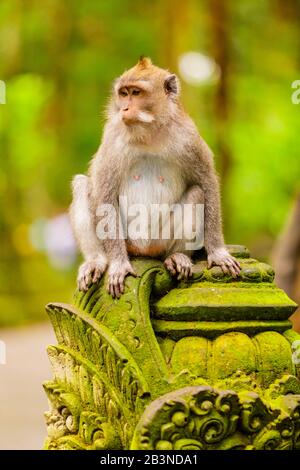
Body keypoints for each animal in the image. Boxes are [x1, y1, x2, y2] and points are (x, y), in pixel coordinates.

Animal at [69, 56, 240, 298]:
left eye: (136, 93)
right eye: (123, 93)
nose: (125, 108)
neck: (148, 133)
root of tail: (144, 250)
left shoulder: (188, 137)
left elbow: (206, 182)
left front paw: (217, 252)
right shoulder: (112, 137)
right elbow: (104, 193)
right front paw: (118, 264)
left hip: (161, 239)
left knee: (197, 194)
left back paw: (177, 256)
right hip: (128, 241)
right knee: (82, 185)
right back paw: (97, 260)